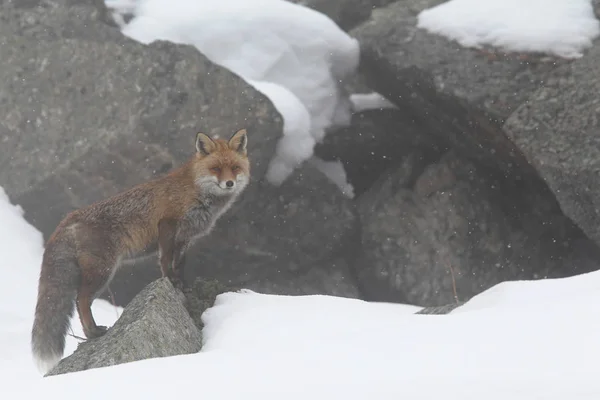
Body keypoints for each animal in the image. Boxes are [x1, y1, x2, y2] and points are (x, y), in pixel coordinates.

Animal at [29, 129, 251, 376]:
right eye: (216, 169)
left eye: (235, 168)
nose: (229, 183)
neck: (195, 191)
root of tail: (67, 218)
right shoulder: (167, 224)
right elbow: (165, 261)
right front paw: (170, 281)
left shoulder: (185, 238)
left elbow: (180, 264)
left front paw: (182, 284)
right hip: (103, 271)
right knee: (81, 300)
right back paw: (94, 332)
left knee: (79, 301)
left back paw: (89, 334)